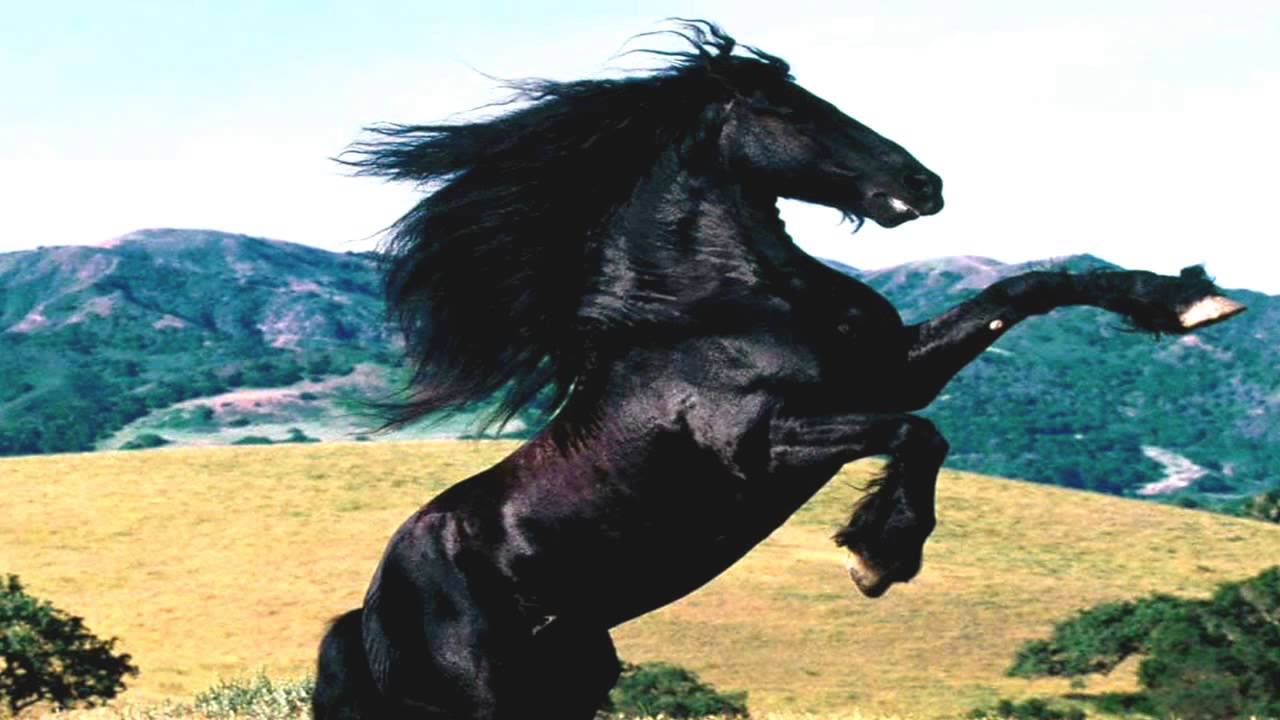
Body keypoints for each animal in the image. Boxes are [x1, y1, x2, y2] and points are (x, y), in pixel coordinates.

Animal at [312, 22, 1246, 720]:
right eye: (788, 109)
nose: (924, 184)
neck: (718, 307)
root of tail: (369, 611)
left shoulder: (892, 371)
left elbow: (1025, 289)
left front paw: (1189, 302)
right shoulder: (769, 442)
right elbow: (919, 433)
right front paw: (878, 556)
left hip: (575, 678)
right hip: (485, 701)